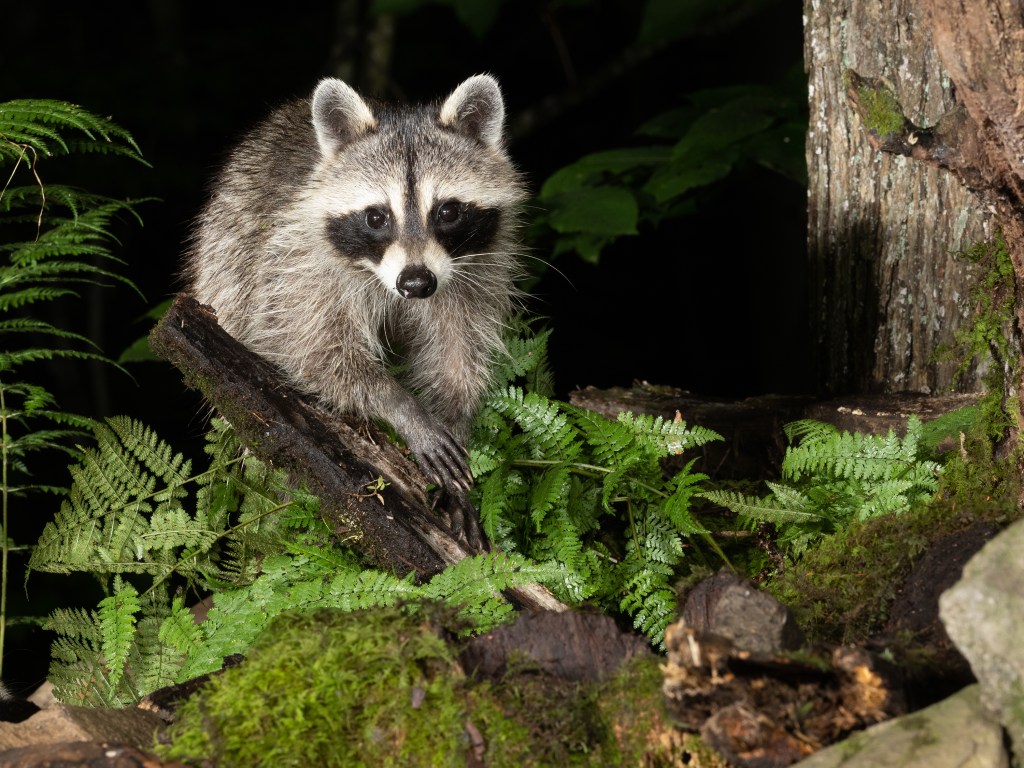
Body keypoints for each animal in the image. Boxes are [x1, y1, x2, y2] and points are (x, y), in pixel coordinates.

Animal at [185, 75, 526, 546]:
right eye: (376, 217)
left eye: (448, 211)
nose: (416, 284)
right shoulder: (299, 262)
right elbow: (313, 350)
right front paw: (401, 406)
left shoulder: (475, 274)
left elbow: (457, 359)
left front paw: (452, 421)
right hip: (225, 256)